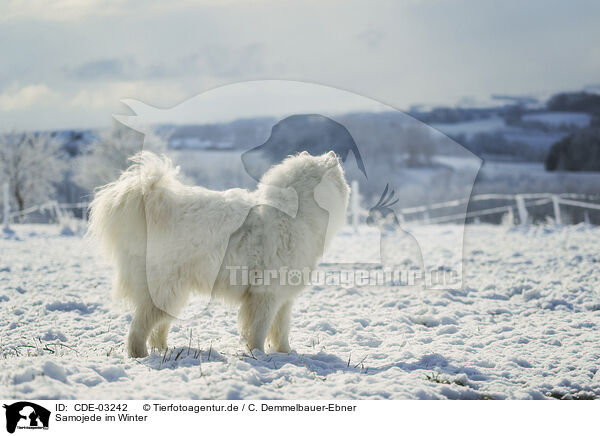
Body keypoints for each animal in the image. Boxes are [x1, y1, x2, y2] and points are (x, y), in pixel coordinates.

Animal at [87, 151, 350, 358]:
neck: (295, 214)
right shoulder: (265, 294)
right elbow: (259, 329)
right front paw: (259, 355)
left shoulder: (283, 297)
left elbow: (281, 329)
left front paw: (286, 353)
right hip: (166, 289)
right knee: (139, 328)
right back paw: (139, 354)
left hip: (174, 293)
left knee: (158, 327)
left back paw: (163, 349)